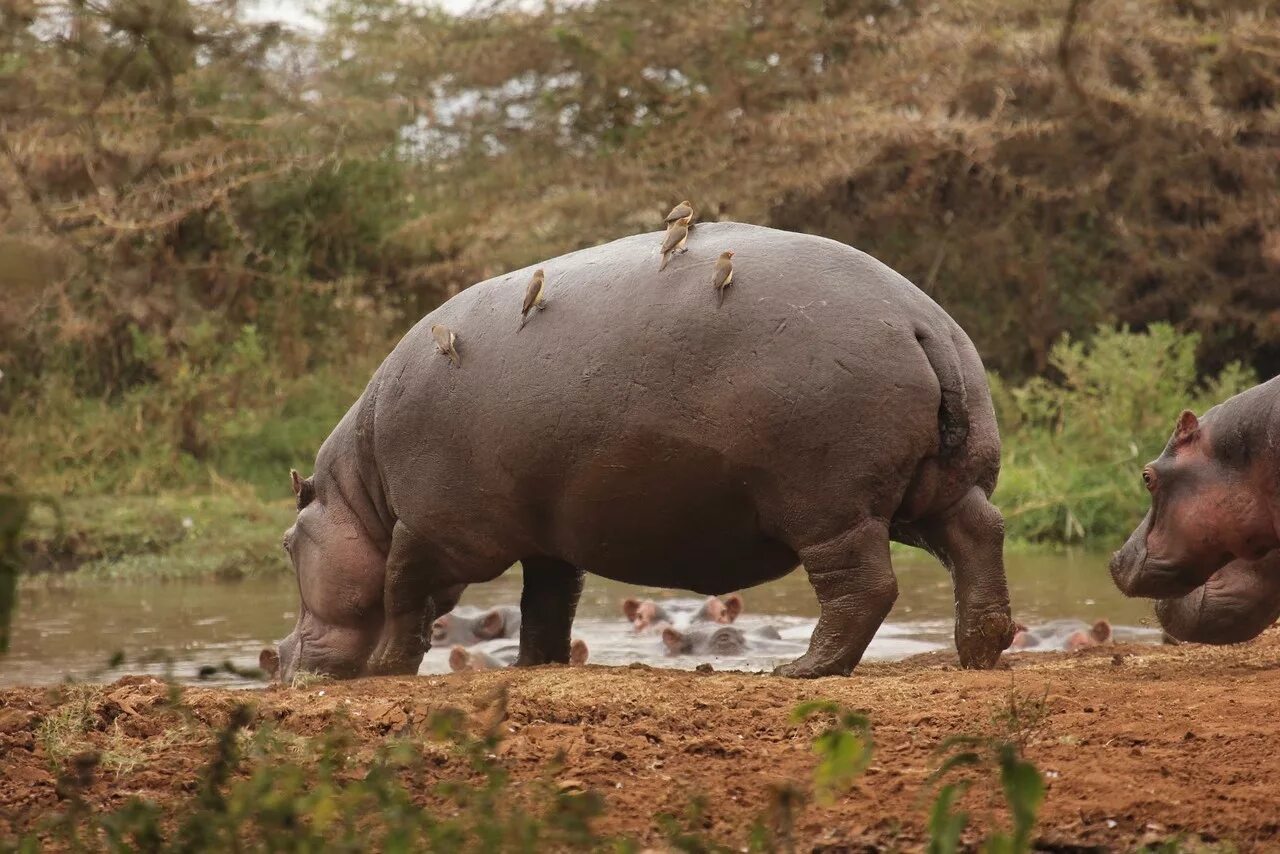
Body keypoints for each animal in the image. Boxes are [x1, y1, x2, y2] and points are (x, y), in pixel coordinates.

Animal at [264, 224, 1013, 686]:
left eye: (288, 545)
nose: (276, 659)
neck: (360, 491)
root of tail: (920, 321)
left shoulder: (429, 533)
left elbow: (402, 594)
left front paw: (385, 668)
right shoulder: (547, 539)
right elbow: (547, 604)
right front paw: (535, 667)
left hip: (831, 505)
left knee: (863, 587)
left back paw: (804, 670)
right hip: (934, 489)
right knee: (978, 536)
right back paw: (981, 648)